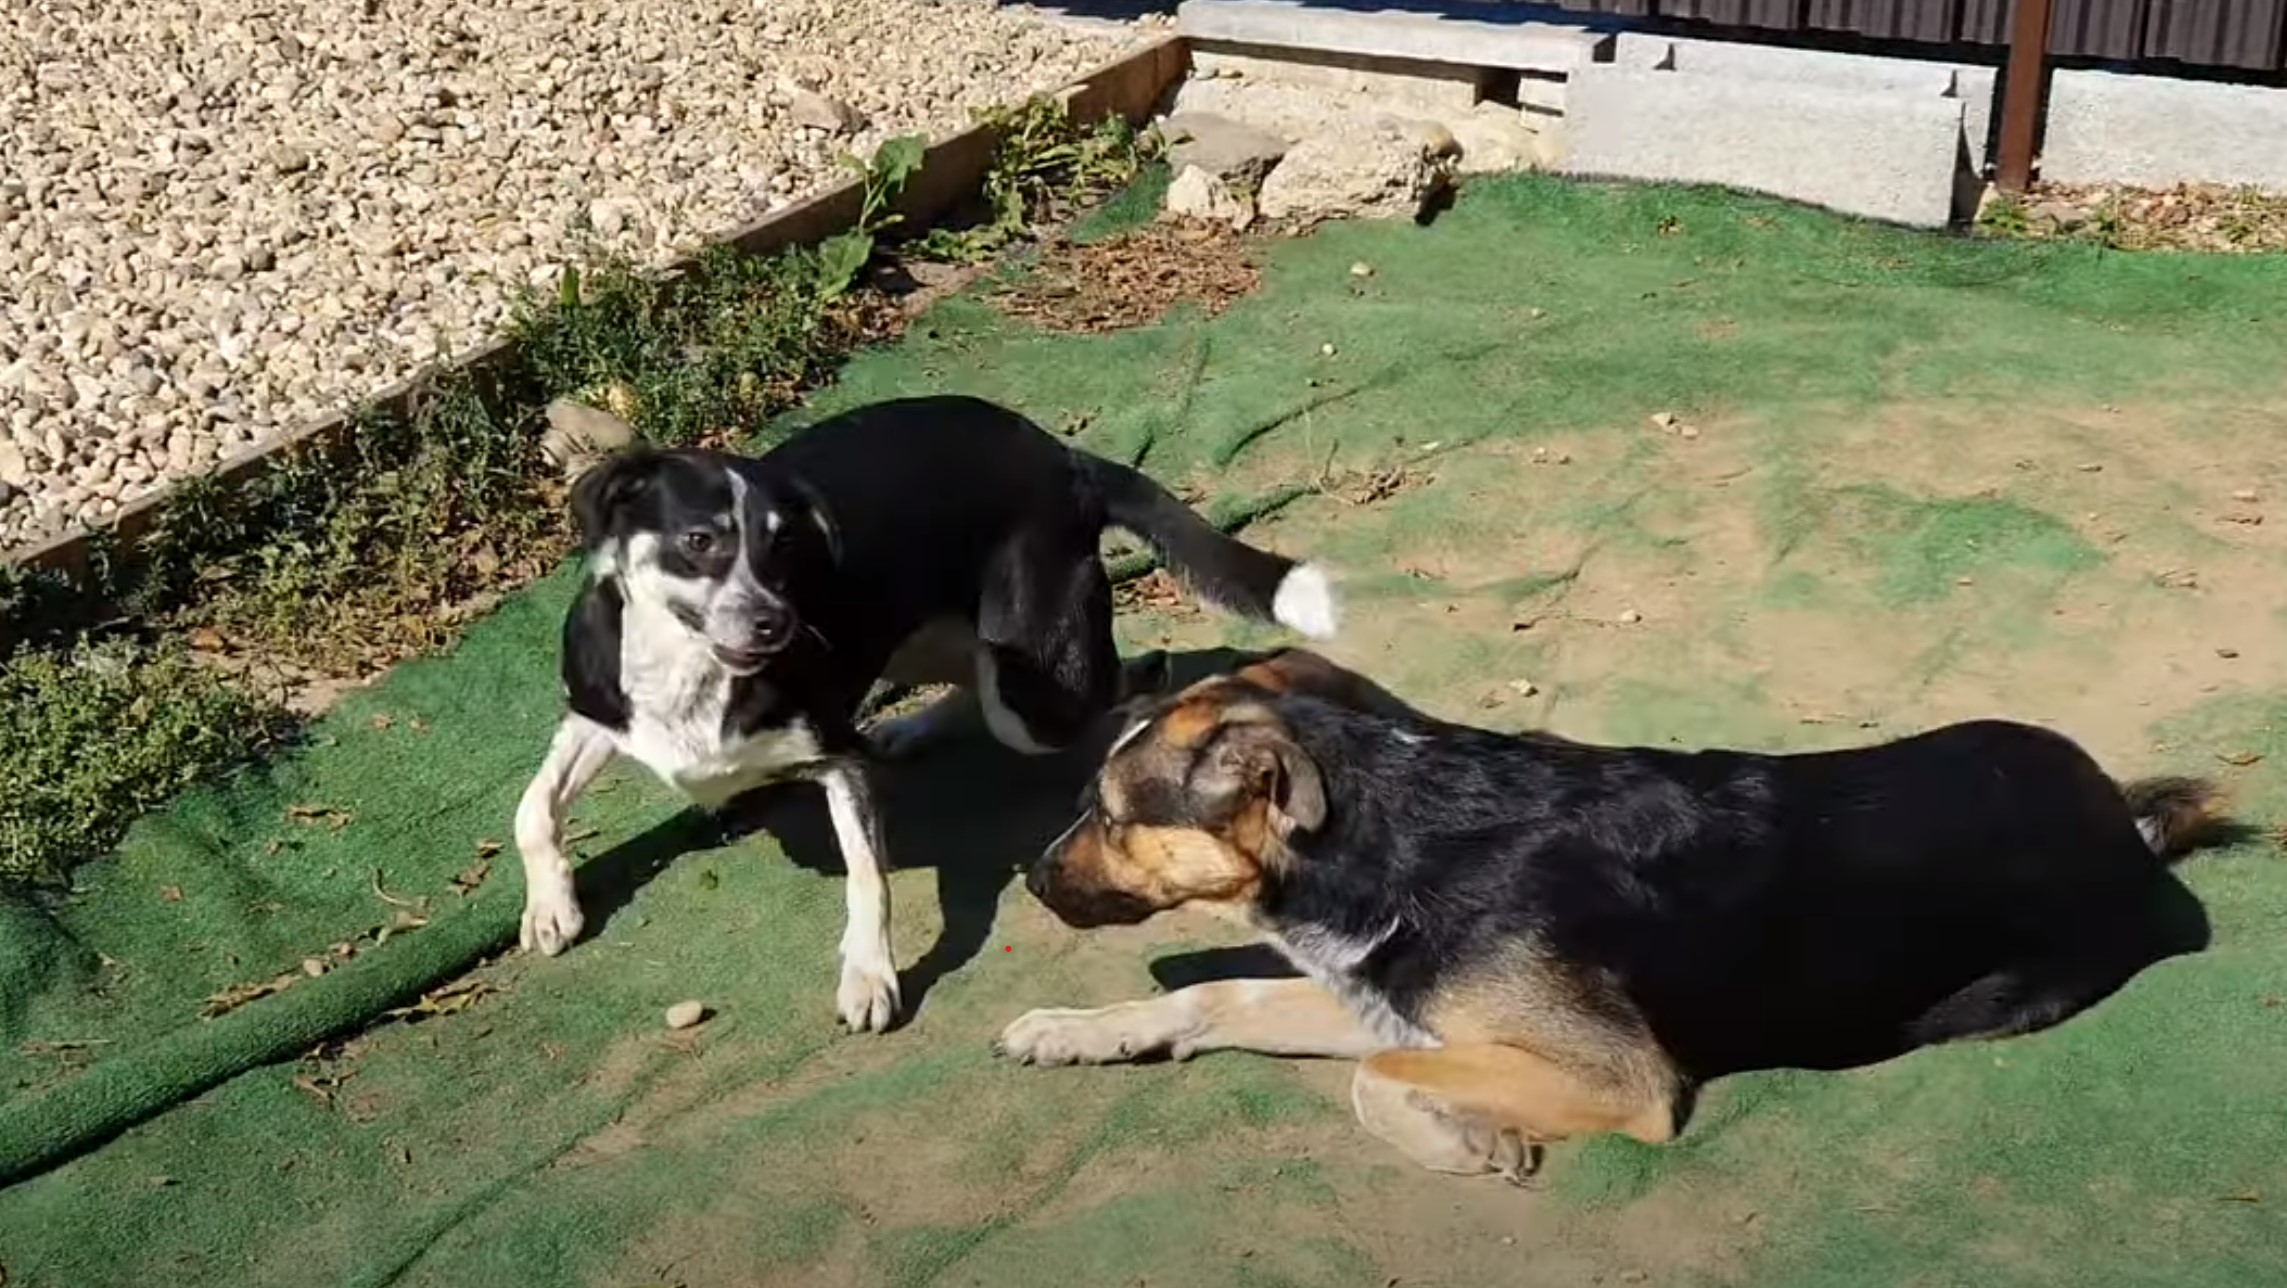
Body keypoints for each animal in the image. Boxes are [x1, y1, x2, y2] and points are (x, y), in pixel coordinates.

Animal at [514, 398, 1335, 1034]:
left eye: (786, 549)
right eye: (700, 541)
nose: (778, 624)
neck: (696, 671)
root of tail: (1059, 454)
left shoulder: (835, 758)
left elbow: (865, 878)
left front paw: (869, 976)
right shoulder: (596, 712)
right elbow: (532, 807)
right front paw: (550, 905)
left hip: (1034, 695)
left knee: (1124, 677)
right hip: (920, 642)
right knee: (974, 670)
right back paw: (911, 727)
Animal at [997, 649, 2213, 1180]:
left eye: (1109, 813)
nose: (1030, 876)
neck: (1389, 831)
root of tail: (2122, 821)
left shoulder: (1617, 1075)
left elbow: (1371, 1081)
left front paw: (1467, 1144)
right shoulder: (1393, 999)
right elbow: (1217, 995)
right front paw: (1076, 1031)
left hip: (1978, 998)